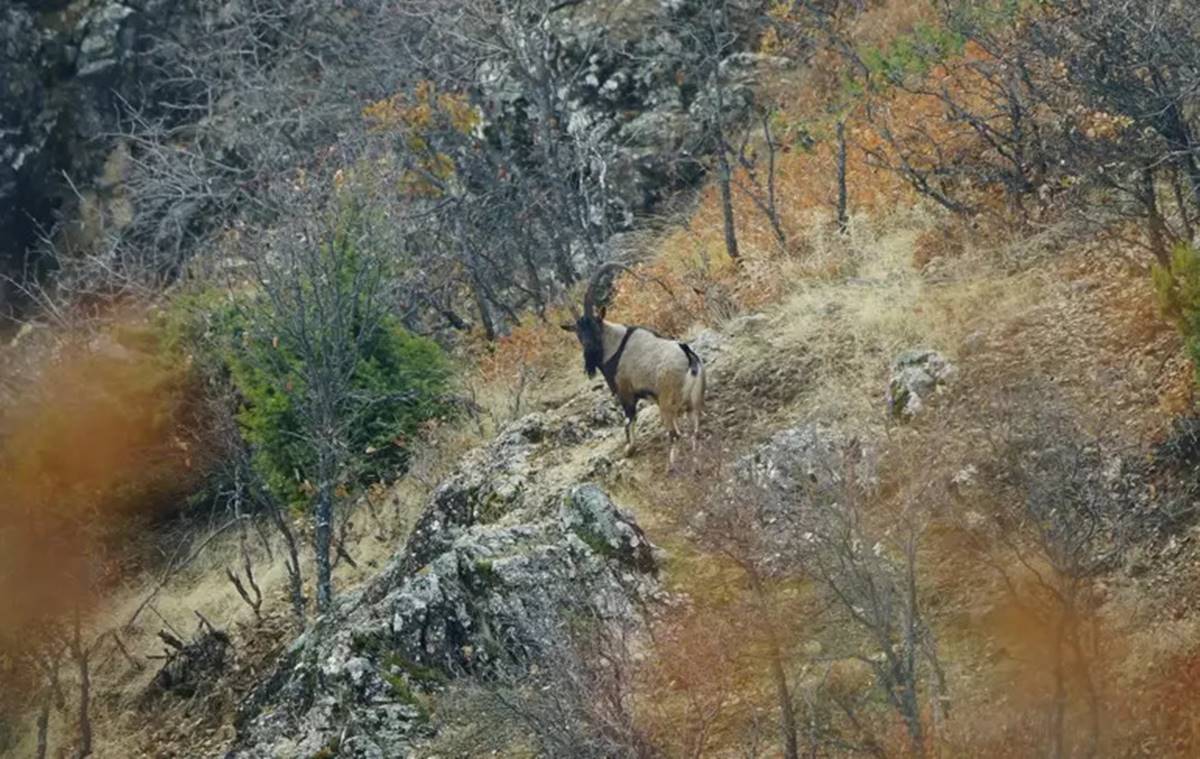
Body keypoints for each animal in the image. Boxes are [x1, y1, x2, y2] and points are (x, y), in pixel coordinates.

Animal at [559, 264, 700, 465]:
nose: (589, 351)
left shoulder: (626, 392)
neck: (617, 345)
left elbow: (629, 420)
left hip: (667, 402)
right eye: (578, 332)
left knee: (675, 434)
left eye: (595, 325)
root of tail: (688, 358)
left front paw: (629, 449)